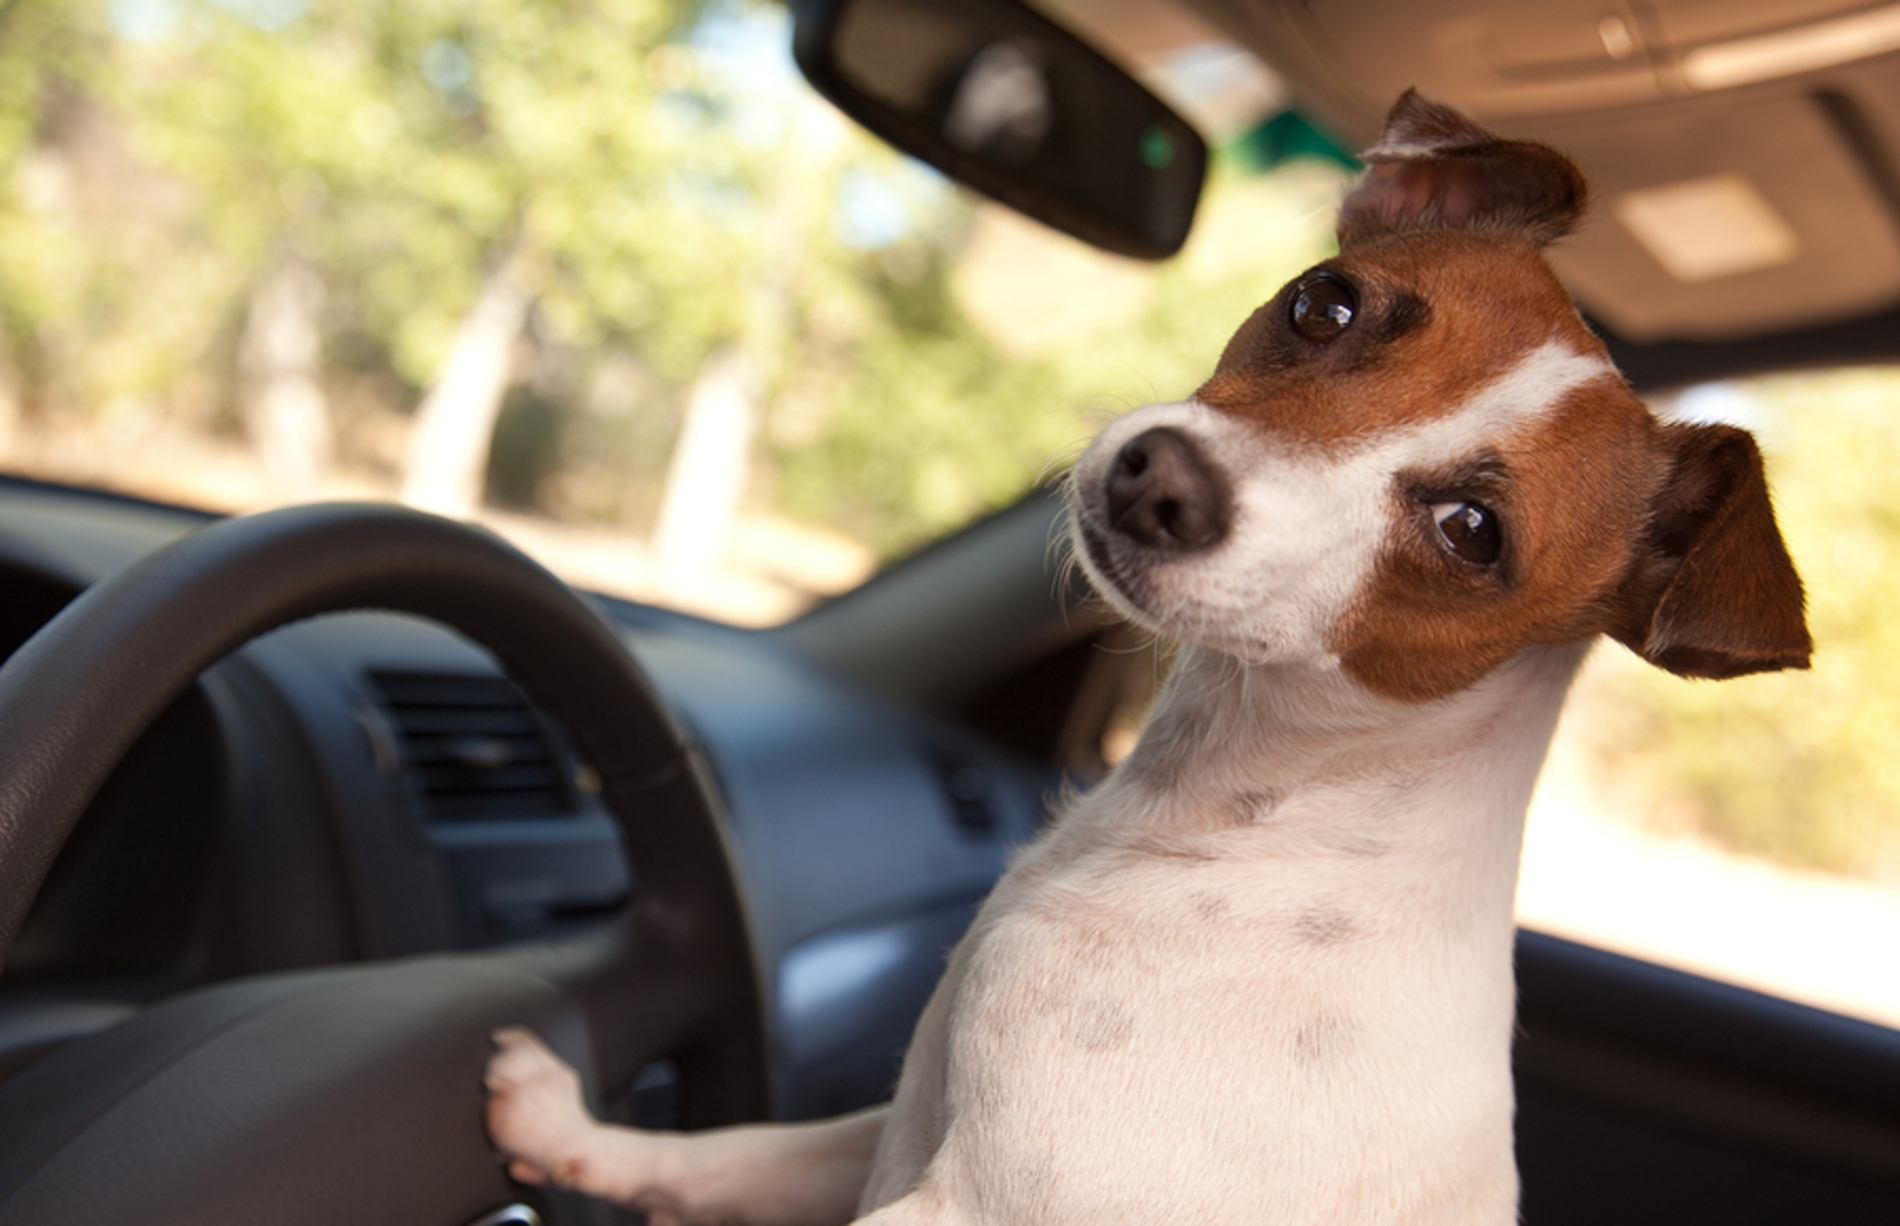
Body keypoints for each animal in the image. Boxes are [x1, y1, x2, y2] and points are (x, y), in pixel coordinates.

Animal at [486, 90, 1808, 1216]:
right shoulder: (897, 1122)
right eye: (1324, 302)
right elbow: (728, 1154)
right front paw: (574, 1128)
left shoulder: (970, 1206)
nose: (1160, 481)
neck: (1247, 821)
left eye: (1472, 532)